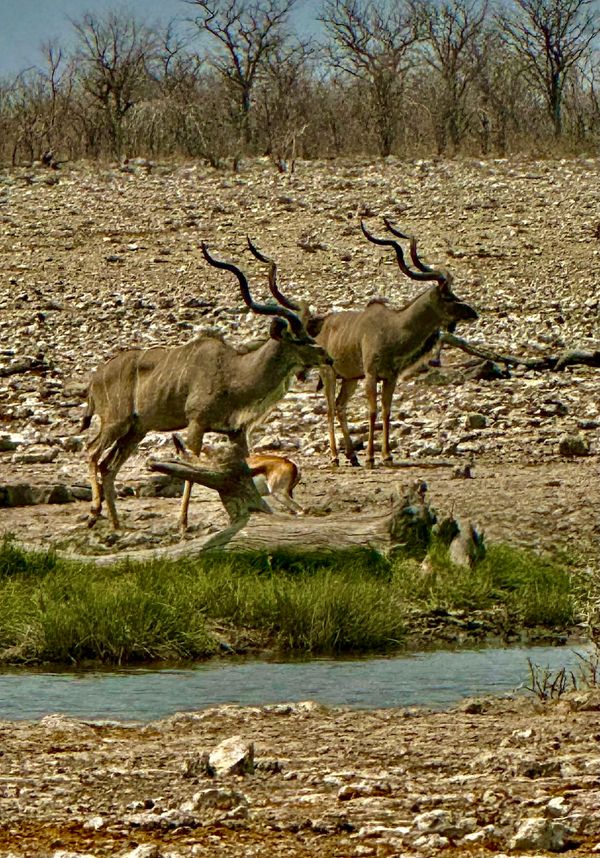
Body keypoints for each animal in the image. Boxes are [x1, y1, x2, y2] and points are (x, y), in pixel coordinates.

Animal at [80, 241, 330, 532]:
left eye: (309, 333)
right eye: (298, 339)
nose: (328, 357)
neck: (233, 372)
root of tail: (95, 380)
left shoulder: (236, 432)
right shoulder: (196, 424)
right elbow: (190, 471)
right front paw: (182, 524)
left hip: (135, 431)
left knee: (108, 466)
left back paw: (116, 524)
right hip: (115, 423)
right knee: (92, 452)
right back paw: (94, 513)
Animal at [246, 222, 476, 468]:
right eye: (448, 297)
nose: (473, 312)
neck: (394, 328)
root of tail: (321, 325)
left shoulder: (390, 377)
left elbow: (386, 411)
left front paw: (386, 456)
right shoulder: (371, 373)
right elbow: (373, 411)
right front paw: (371, 457)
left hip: (350, 379)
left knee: (340, 406)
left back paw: (351, 455)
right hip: (329, 374)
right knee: (330, 408)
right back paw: (336, 456)